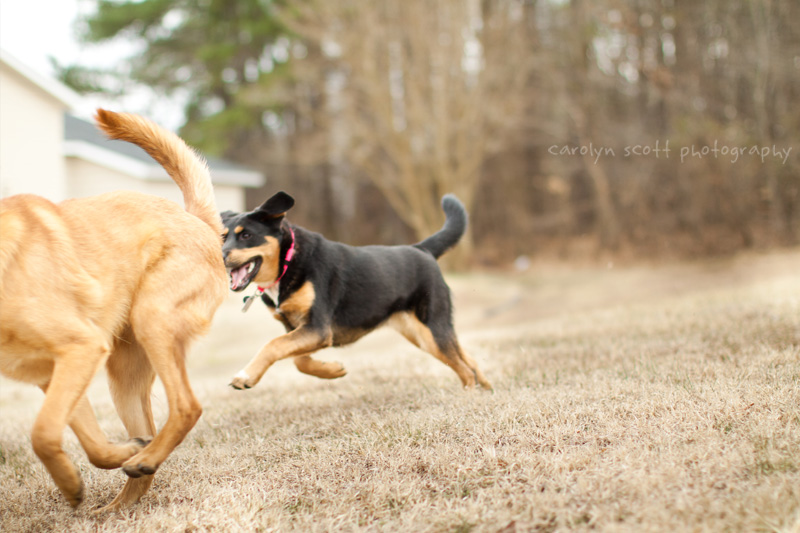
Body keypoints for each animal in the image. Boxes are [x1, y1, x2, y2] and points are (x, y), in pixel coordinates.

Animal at [0, 109, 227, 512]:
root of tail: (196, 219)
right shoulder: (56, 373)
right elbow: (89, 443)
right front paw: (113, 458)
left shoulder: (80, 349)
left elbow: (42, 434)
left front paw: (71, 484)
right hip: (124, 378)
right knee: (148, 444)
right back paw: (126, 488)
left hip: (153, 321)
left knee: (187, 406)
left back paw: (144, 460)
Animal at [222, 192, 490, 390]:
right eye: (223, 238)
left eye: (246, 235)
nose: (220, 256)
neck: (287, 262)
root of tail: (421, 249)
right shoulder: (302, 330)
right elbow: (298, 360)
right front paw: (332, 370)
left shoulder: (317, 328)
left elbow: (273, 345)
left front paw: (246, 376)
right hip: (422, 336)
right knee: (467, 358)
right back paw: (485, 387)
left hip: (433, 328)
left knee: (465, 368)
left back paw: (469, 392)